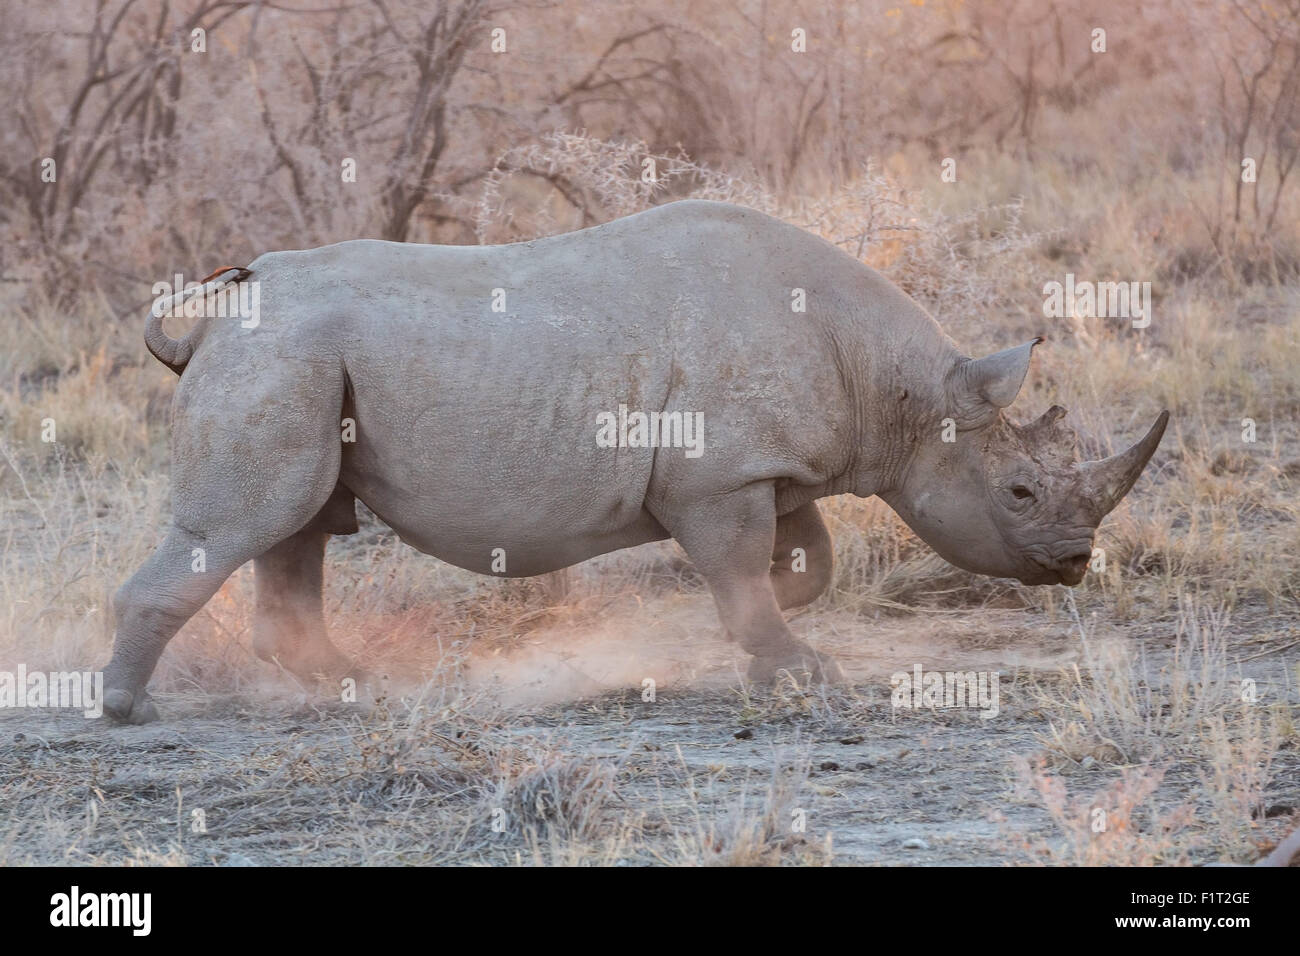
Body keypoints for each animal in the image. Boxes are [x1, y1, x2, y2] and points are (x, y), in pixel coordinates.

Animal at [104, 204, 1170, 723]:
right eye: (1020, 491)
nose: (1077, 563)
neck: (900, 393)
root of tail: (214, 320)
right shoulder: (719, 477)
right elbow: (742, 566)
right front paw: (801, 674)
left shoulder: (758, 467)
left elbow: (803, 561)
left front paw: (742, 635)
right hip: (280, 357)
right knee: (244, 524)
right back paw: (126, 709)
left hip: (299, 360)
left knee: (297, 528)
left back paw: (348, 687)